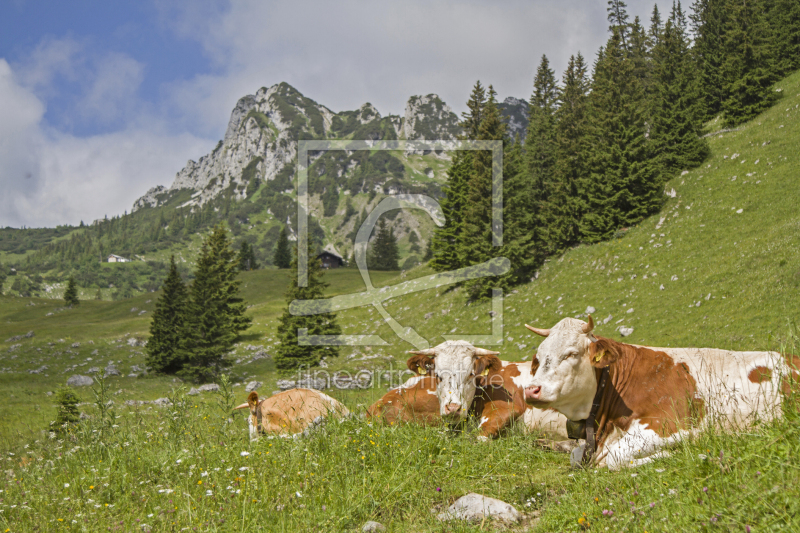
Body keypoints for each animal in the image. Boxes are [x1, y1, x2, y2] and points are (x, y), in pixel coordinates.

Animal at [524, 314, 800, 468]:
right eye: (538, 357)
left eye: (571, 353)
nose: (531, 390)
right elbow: (577, 456)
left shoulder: (669, 424)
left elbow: (612, 458)